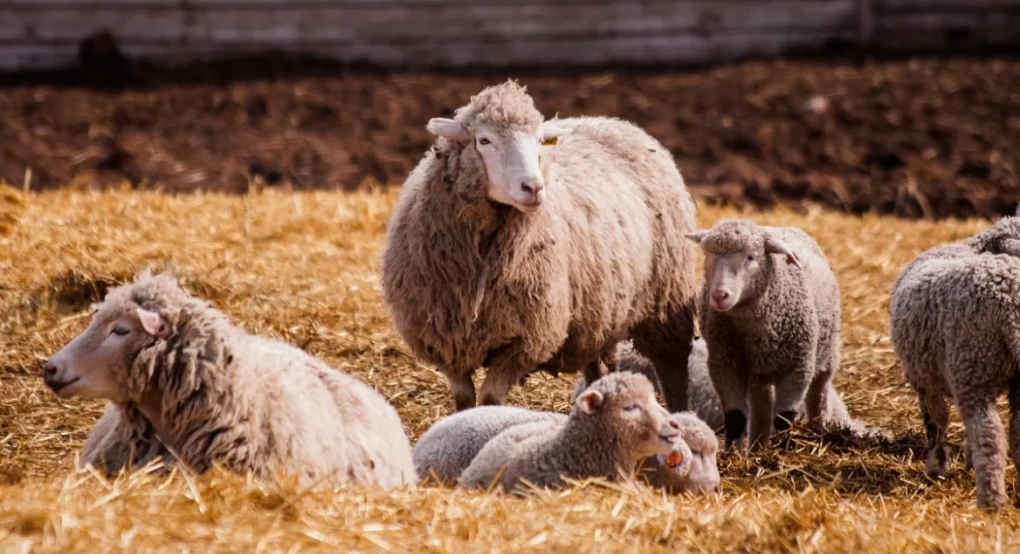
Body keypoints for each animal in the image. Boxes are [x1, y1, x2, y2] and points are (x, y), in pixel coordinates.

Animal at [383, 80, 701, 414]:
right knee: (601, 368)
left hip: (666, 299)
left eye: (538, 142)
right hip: (598, 314)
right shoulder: (446, 343)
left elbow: (490, 400)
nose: (534, 188)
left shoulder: (524, 341)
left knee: (673, 368)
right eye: (484, 140)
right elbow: (464, 402)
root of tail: (612, 121)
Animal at [685, 218, 844, 450]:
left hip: (827, 352)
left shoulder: (799, 369)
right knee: (761, 410)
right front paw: (732, 453)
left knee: (819, 393)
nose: (719, 295)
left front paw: (781, 450)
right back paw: (756, 447)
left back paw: (818, 427)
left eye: (751, 257)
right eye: (708, 255)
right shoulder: (725, 365)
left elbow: (784, 419)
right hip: (758, 373)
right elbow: (735, 417)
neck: (756, 331)